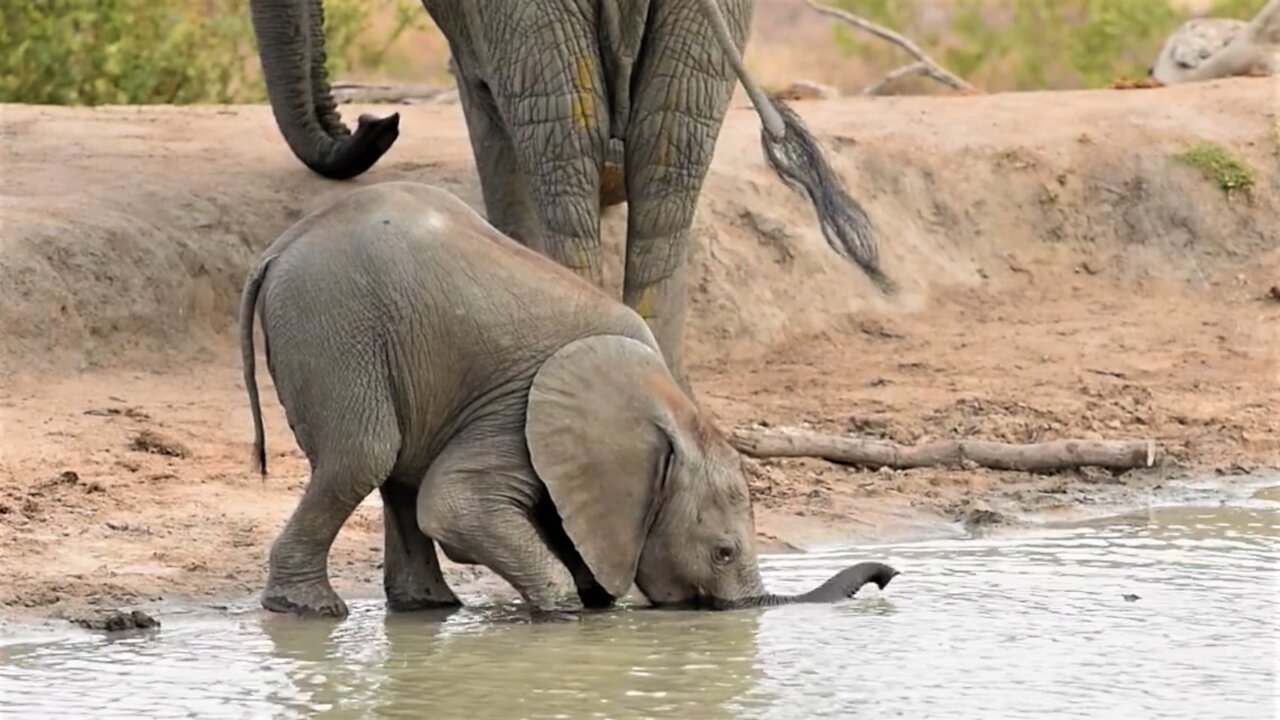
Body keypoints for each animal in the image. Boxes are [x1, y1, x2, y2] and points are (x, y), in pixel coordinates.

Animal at [240, 180, 901, 617]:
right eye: (722, 553)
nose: (889, 576)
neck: (666, 404)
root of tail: (279, 246)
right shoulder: (518, 415)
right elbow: (455, 506)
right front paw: (566, 613)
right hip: (333, 326)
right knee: (365, 457)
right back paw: (312, 610)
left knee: (395, 474)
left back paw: (428, 609)